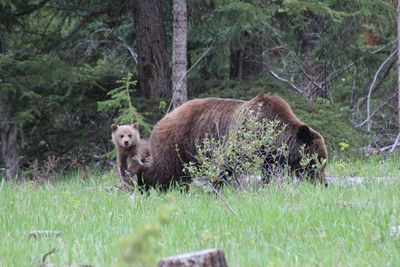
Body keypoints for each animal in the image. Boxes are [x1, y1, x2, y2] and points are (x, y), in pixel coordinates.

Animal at [134, 94, 328, 191]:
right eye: (315, 162)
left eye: (323, 162)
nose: (324, 183)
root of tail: (161, 120)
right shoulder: (244, 136)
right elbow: (228, 164)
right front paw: (218, 188)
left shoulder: (269, 156)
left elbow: (268, 172)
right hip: (178, 144)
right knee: (164, 169)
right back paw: (145, 184)